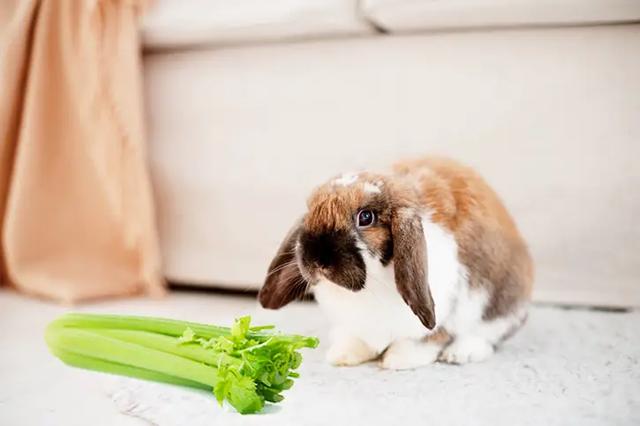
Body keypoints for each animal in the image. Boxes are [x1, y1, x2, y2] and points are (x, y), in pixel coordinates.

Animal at [258, 157, 533, 369]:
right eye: (310, 212)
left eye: (366, 217)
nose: (316, 260)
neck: (370, 286)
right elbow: (358, 340)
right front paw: (343, 355)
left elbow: (426, 338)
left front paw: (398, 361)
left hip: (499, 308)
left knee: (485, 335)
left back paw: (459, 354)